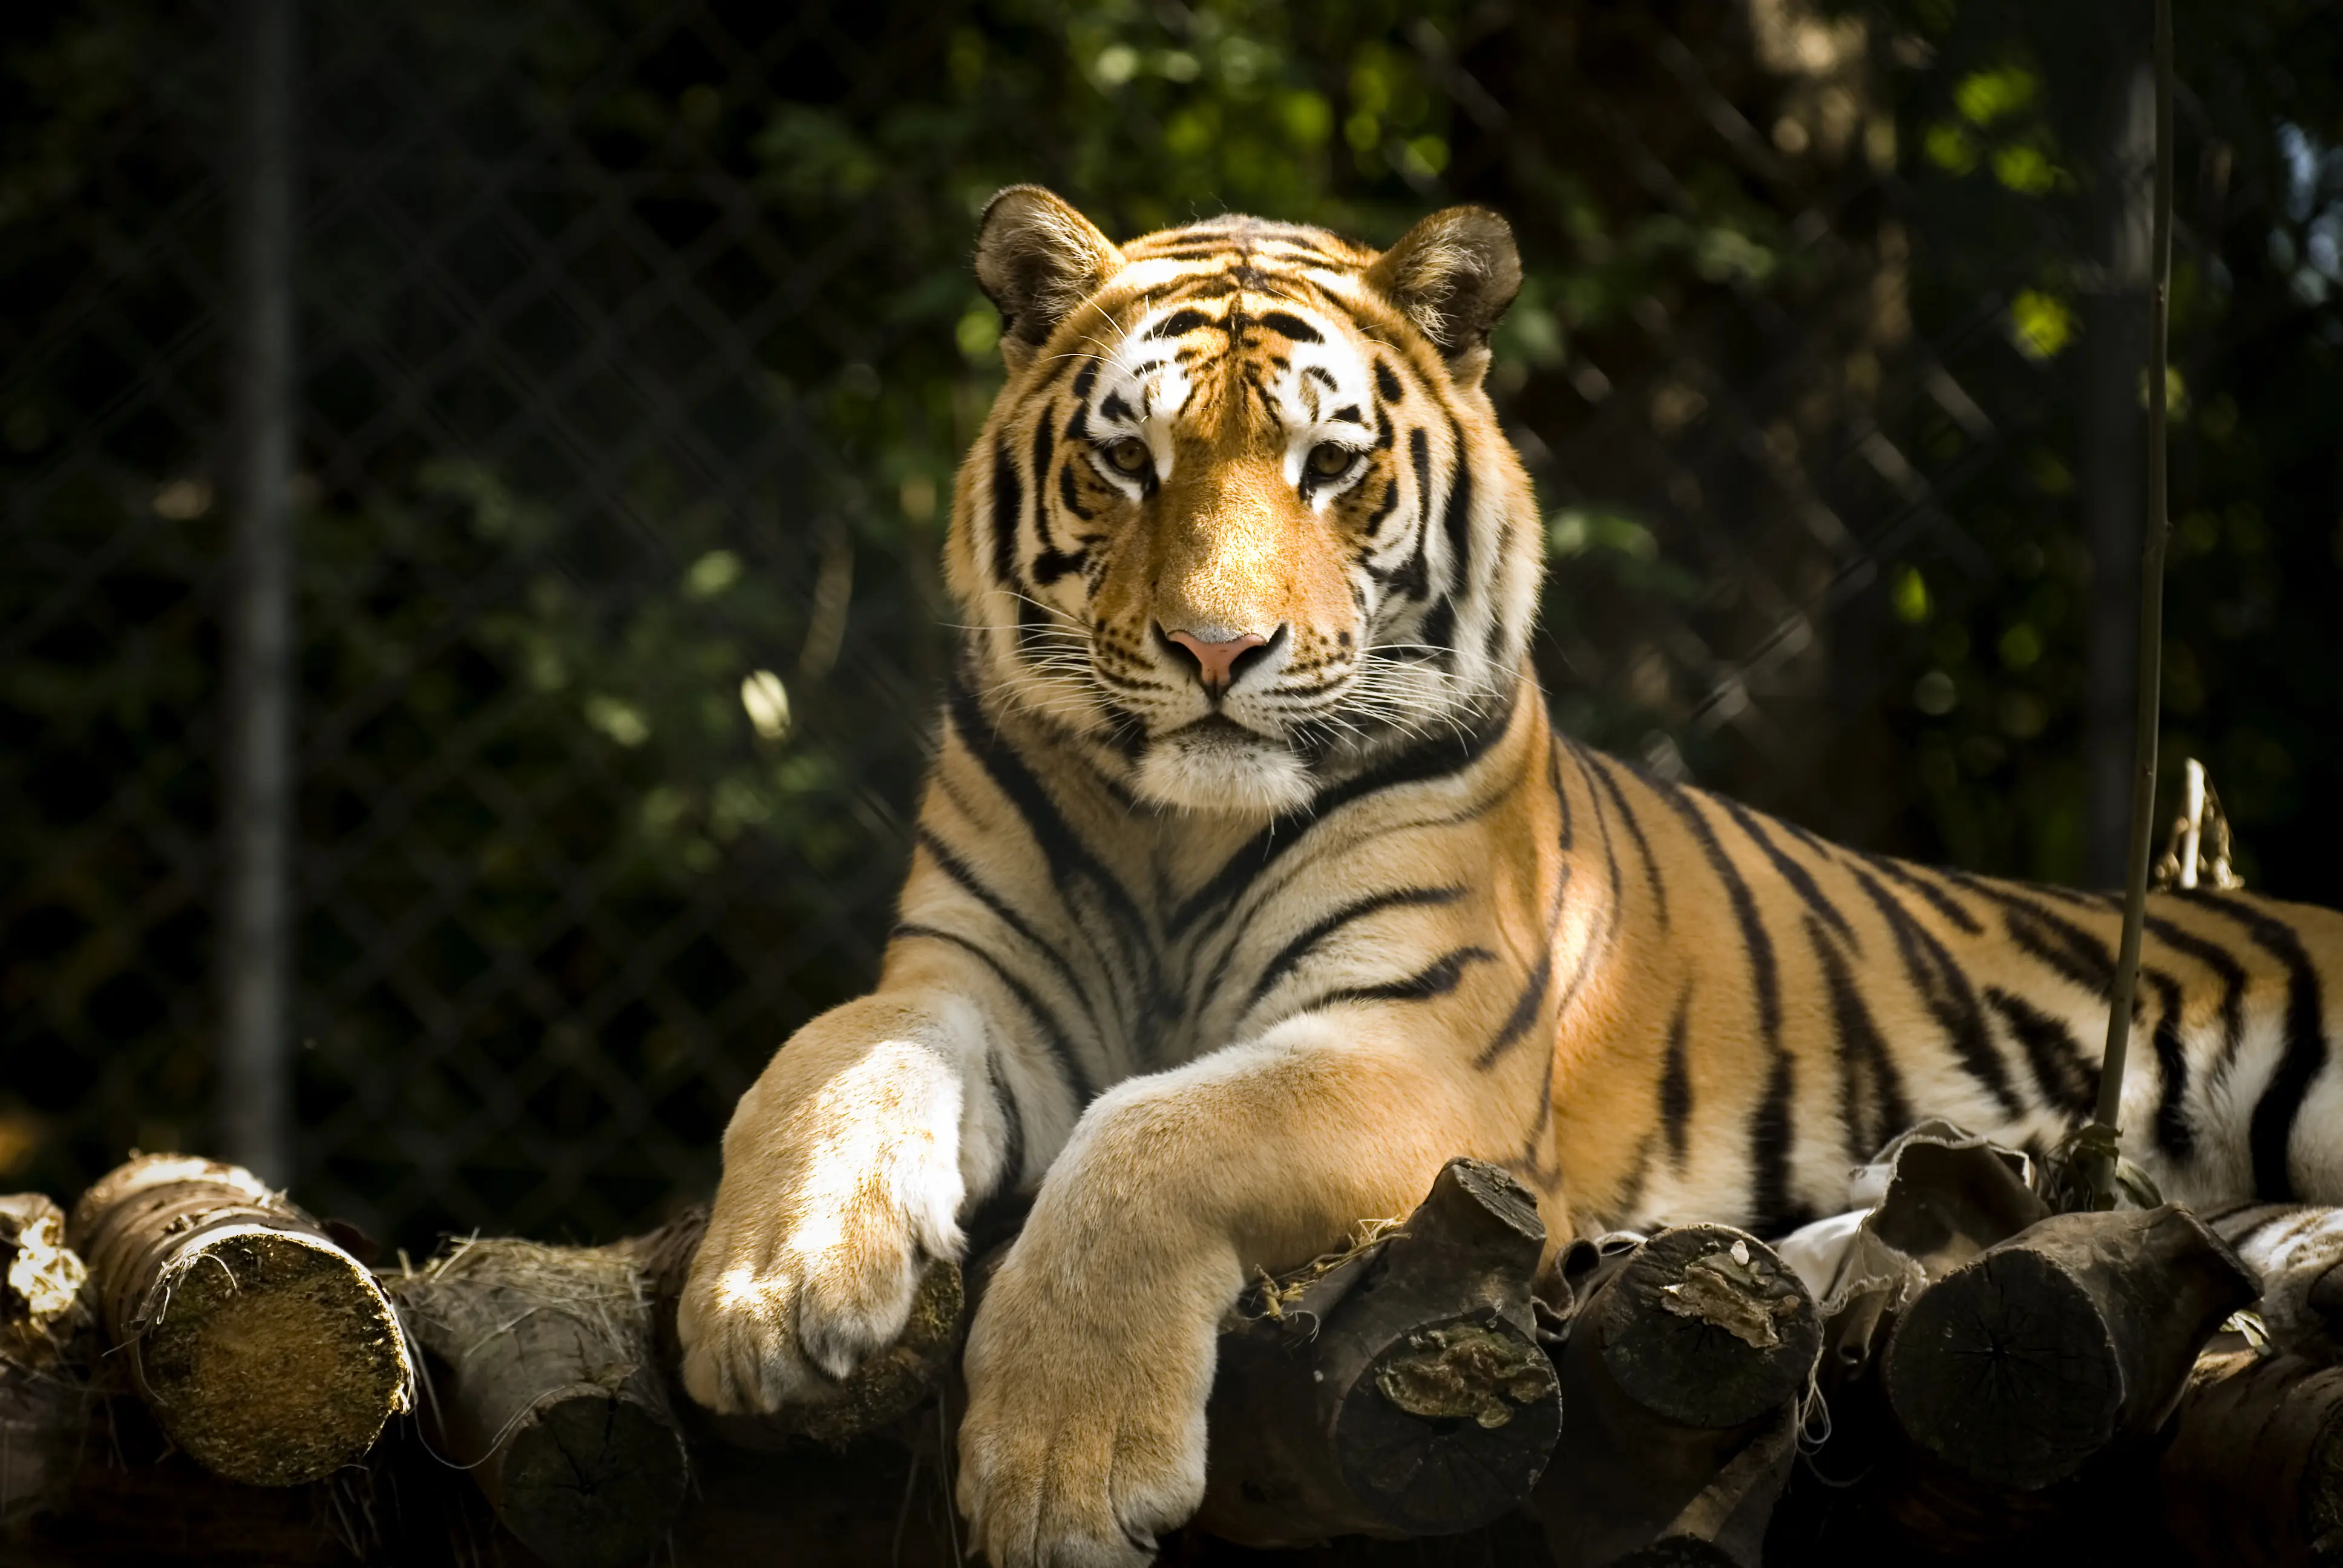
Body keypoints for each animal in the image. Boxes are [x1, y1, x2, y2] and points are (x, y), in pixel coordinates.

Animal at [677, 185, 2343, 1566]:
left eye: (1328, 466)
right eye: (1127, 461)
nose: (1217, 653)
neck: (1179, 829)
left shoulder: (1422, 1044)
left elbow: (1153, 1131)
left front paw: (1061, 1471)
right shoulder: (968, 976)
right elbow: (830, 1056)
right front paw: (769, 1295)